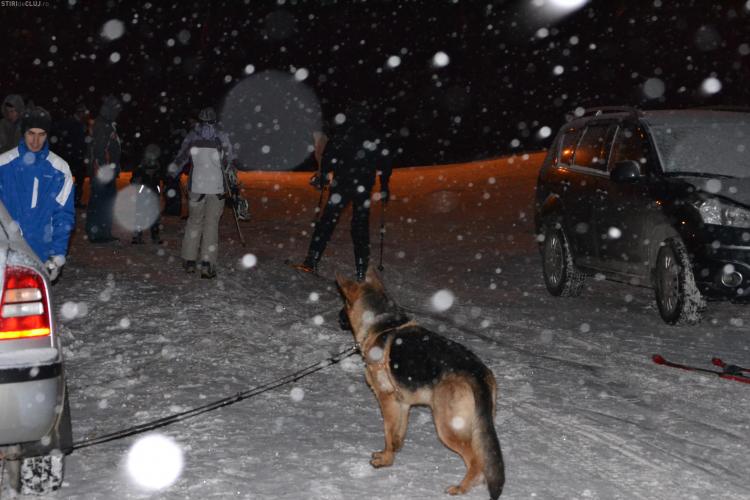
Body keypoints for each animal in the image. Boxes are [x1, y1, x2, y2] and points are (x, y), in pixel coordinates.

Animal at [340, 272, 506, 498]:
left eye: (345, 302)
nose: (338, 317)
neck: (380, 323)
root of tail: (477, 373)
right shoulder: (402, 404)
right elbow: (397, 435)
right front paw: (391, 456)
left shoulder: (387, 400)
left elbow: (388, 432)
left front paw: (385, 460)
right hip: (477, 424)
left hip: (447, 426)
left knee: (475, 460)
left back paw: (461, 488)